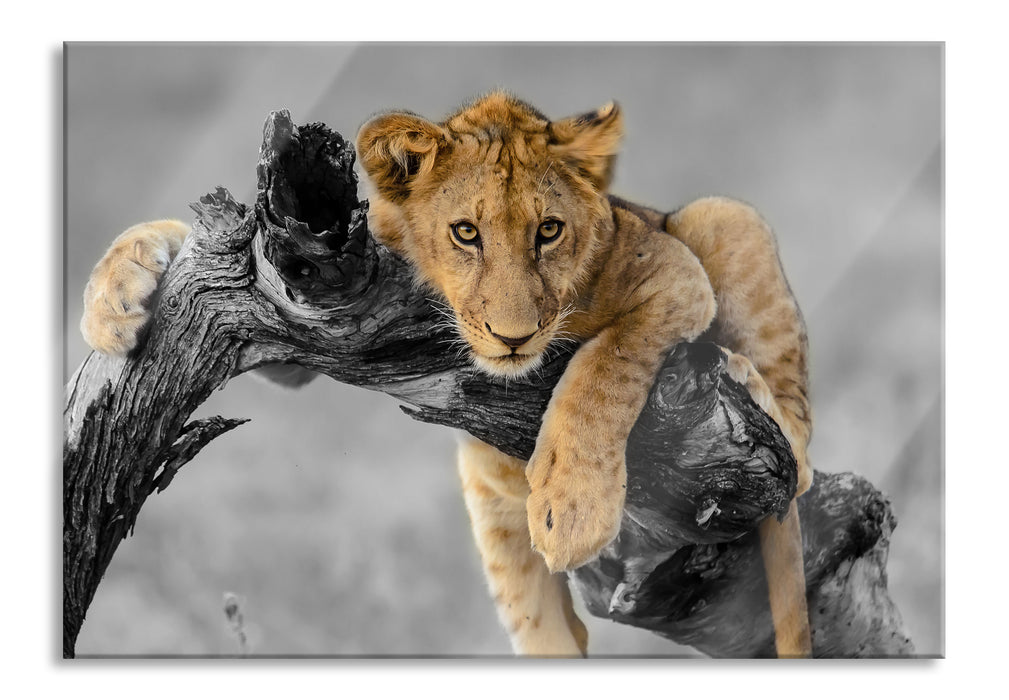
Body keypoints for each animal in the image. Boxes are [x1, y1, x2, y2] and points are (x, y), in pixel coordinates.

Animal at [80, 92, 813, 658]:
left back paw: (747, 382)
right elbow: (189, 242)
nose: (513, 336)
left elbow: (601, 369)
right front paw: (114, 298)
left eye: (549, 231)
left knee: (796, 449)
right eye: (465, 233)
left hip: (722, 218)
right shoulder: (312, 295)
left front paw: (573, 507)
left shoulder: (675, 277)